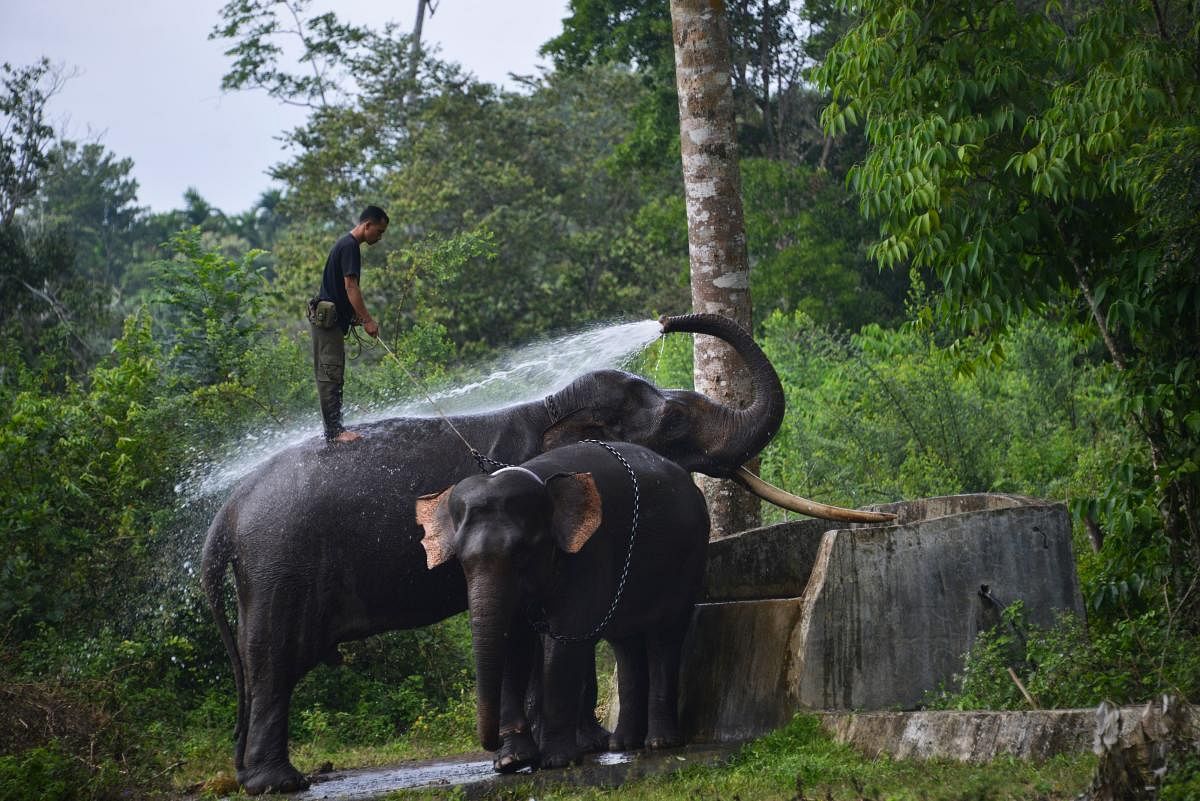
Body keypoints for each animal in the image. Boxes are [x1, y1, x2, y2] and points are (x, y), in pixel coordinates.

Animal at [417, 441, 705, 767]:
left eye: (522, 552)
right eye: (462, 561)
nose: (492, 745)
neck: (541, 478)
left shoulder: (590, 550)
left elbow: (566, 637)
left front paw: (557, 761)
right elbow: (513, 642)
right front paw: (512, 761)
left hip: (688, 558)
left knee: (664, 635)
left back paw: (659, 743)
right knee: (626, 643)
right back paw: (623, 744)